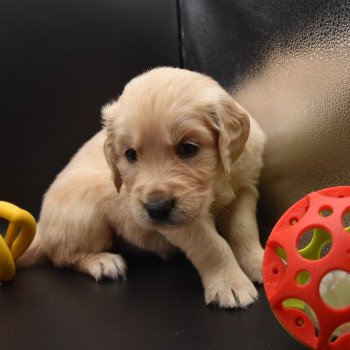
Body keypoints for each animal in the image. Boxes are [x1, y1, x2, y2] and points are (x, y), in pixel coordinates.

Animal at [17, 67, 266, 308]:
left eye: (188, 148)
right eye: (130, 154)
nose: (156, 208)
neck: (216, 182)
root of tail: (41, 230)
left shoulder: (245, 189)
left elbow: (243, 230)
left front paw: (257, 263)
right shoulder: (181, 223)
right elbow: (212, 245)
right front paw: (230, 284)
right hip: (85, 214)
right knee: (62, 256)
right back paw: (103, 261)